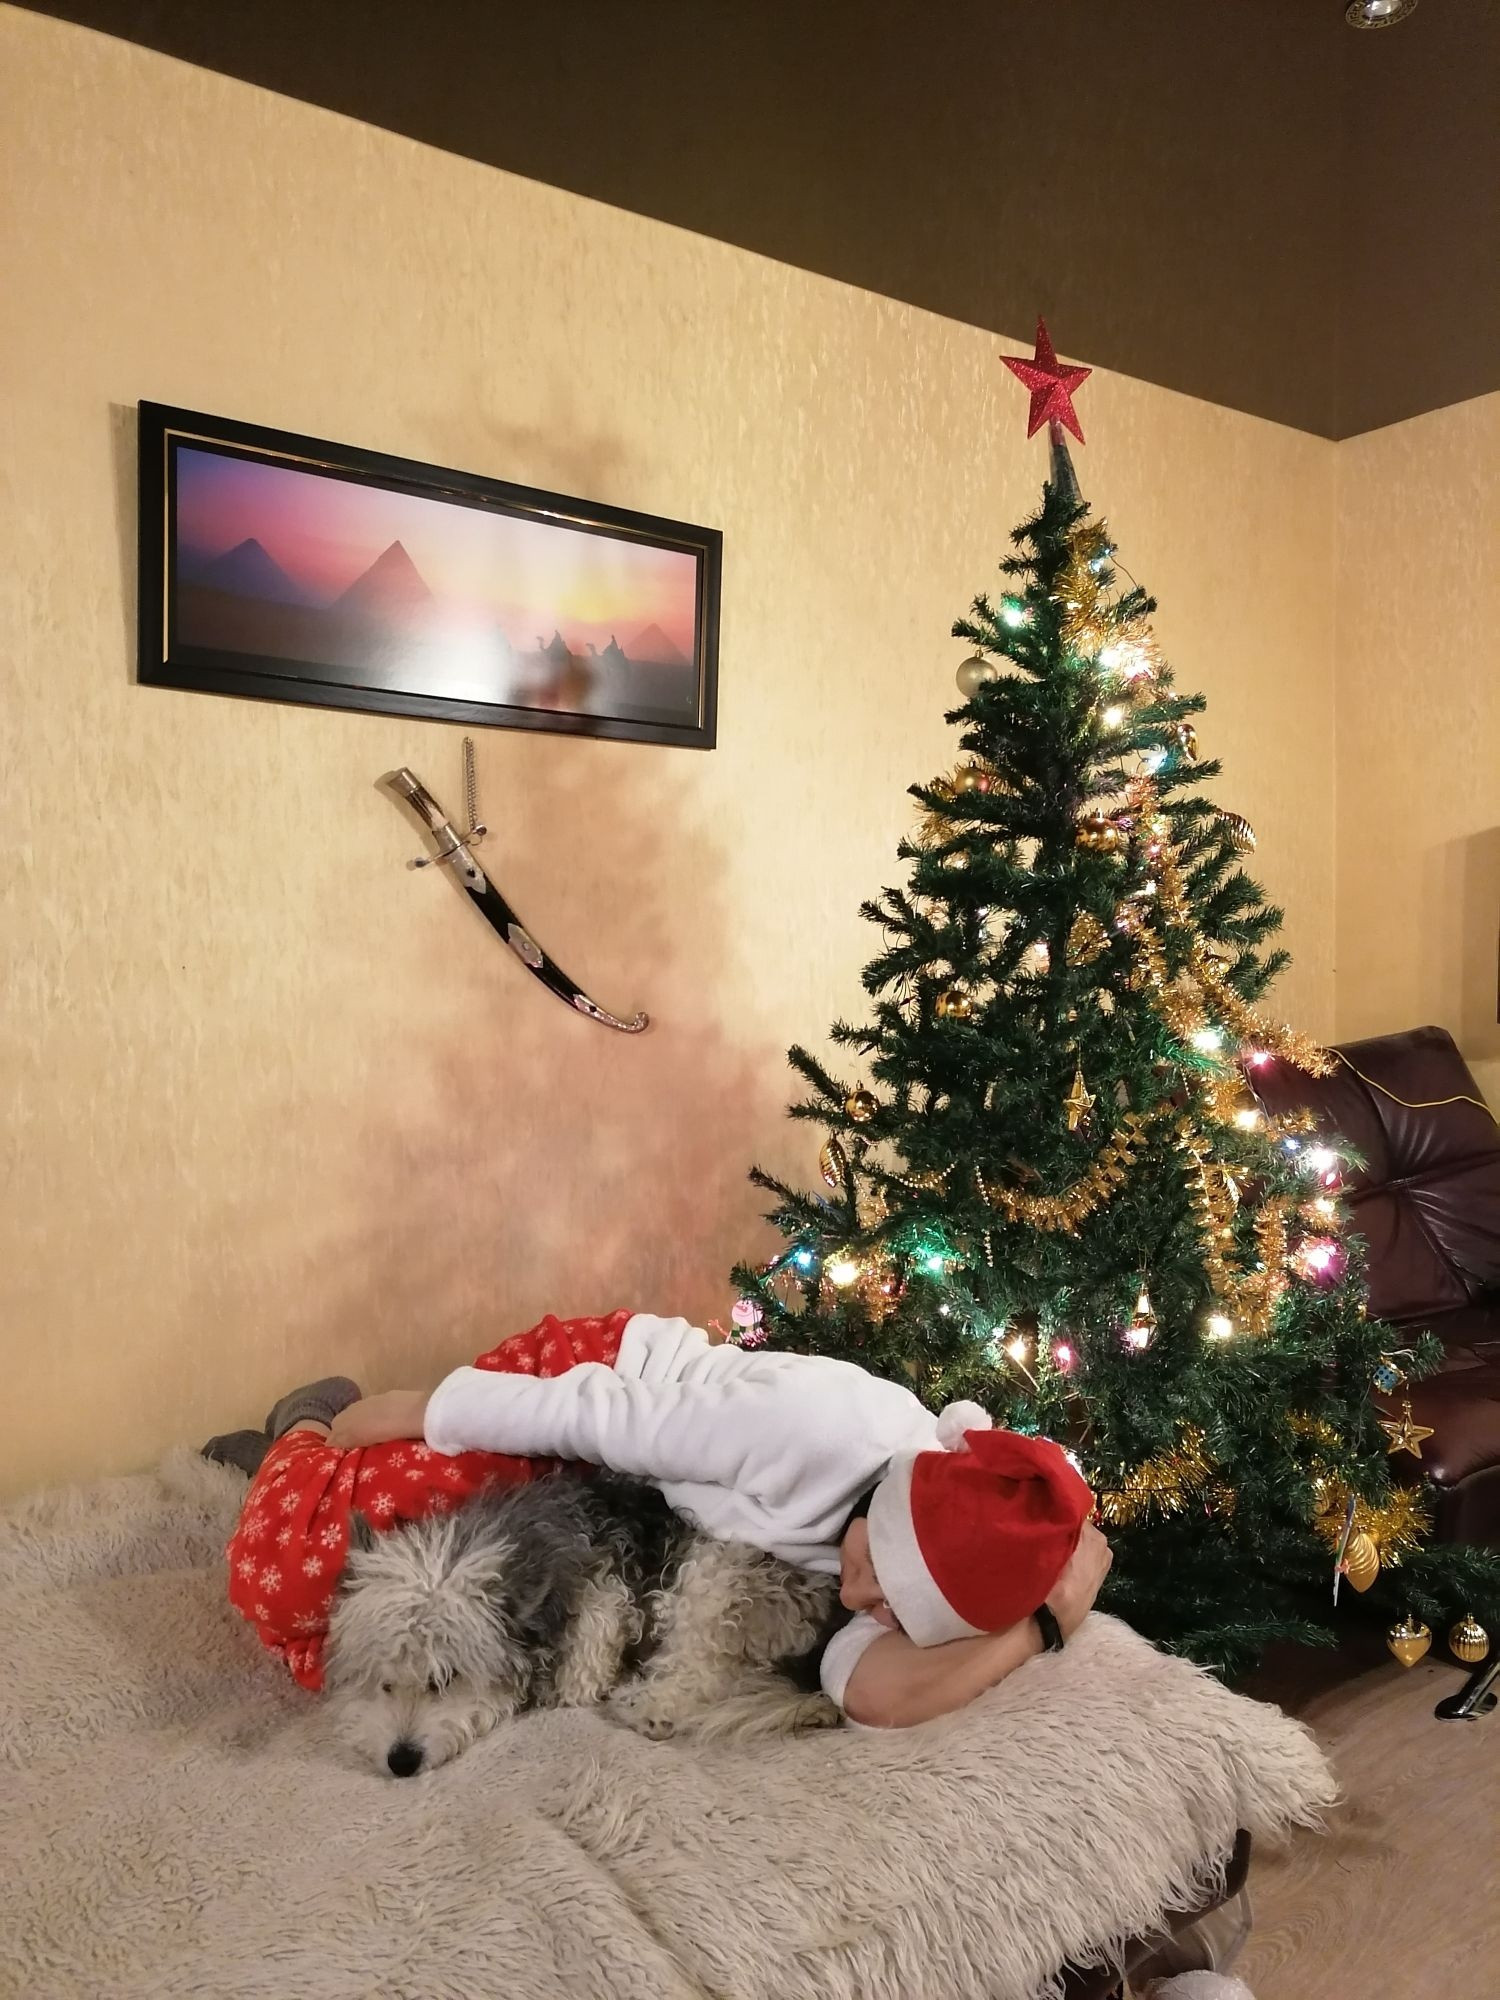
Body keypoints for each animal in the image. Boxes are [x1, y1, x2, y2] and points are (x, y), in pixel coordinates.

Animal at [324, 1471, 841, 1776]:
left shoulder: (606, 1586)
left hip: (713, 1576)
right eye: (382, 1683)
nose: (400, 1761)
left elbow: (583, 1670)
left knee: (703, 1668)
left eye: (445, 1680)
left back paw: (649, 1705)